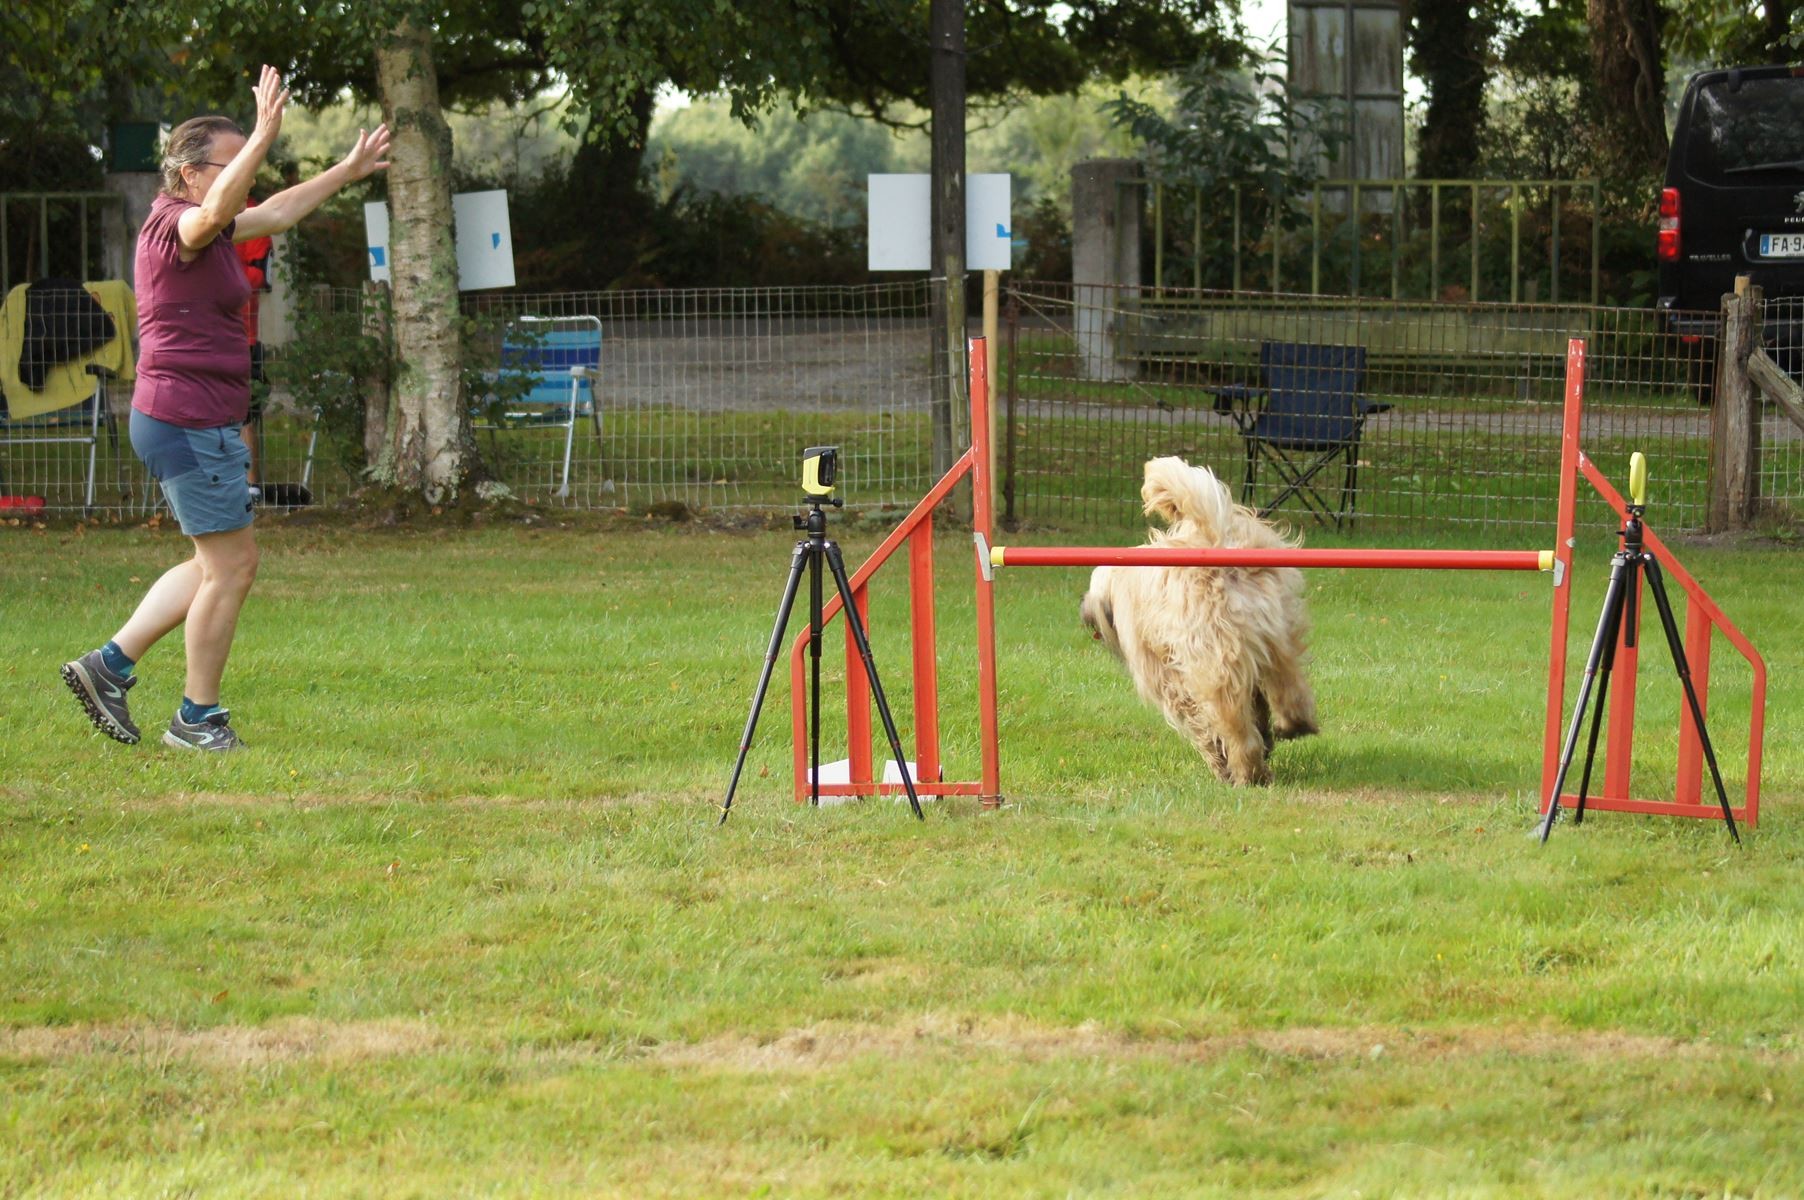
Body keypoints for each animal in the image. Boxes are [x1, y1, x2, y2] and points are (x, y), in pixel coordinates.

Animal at [1075, 454, 1320, 783]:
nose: (1083, 608)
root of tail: (1216, 540)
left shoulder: (1167, 678)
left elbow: (1200, 723)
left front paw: (1220, 761)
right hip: (1277, 629)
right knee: (1287, 682)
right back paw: (1293, 724)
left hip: (1214, 659)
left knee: (1235, 724)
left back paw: (1248, 772)